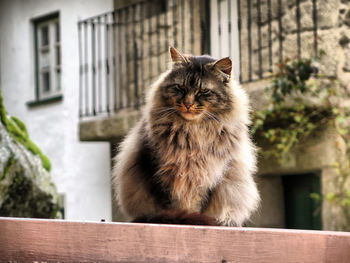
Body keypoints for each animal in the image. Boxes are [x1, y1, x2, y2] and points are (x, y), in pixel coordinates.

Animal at [112, 47, 260, 227]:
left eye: (203, 91)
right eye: (180, 87)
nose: (188, 104)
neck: (192, 132)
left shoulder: (208, 175)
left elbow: (197, 206)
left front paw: (193, 220)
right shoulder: (160, 172)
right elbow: (171, 206)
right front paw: (179, 219)